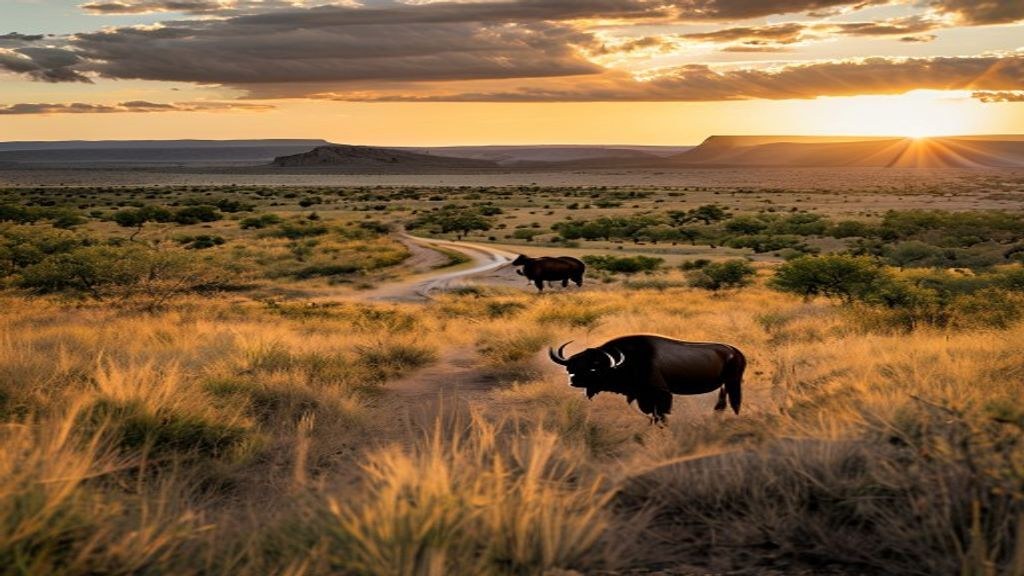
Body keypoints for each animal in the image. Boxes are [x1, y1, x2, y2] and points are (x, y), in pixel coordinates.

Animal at [548, 335, 746, 423]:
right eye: (571, 367)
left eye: (594, 367)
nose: (573, 380)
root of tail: (736, 352)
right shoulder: (642, 396)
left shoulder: (661, 394)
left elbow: (660, 413)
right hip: (725, 386)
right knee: (722, 403)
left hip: (733, 383)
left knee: (735, 403)